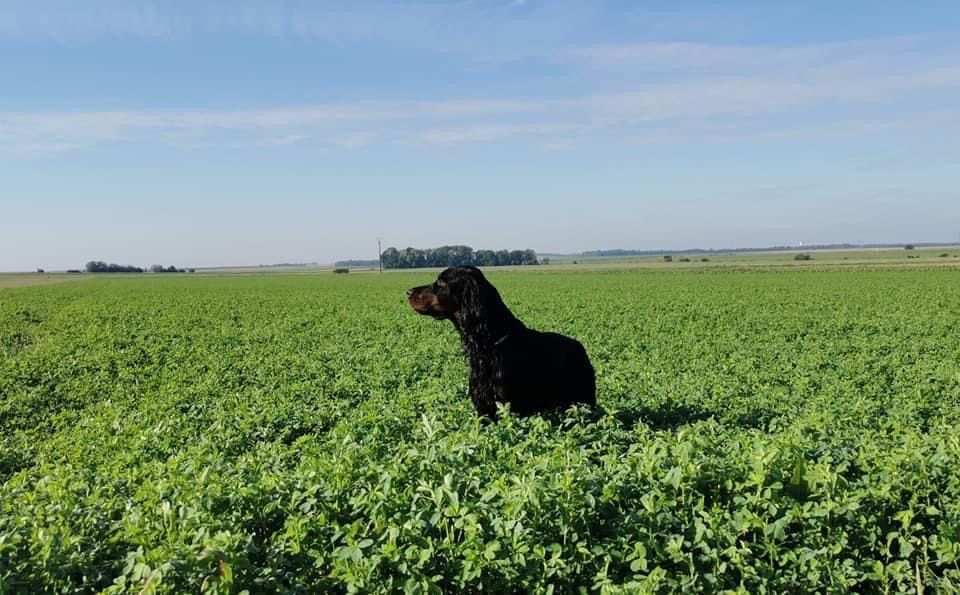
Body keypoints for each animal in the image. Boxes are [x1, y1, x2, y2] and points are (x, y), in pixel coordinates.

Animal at [404, 266, 592, 420]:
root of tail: (580, 347)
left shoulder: (509, 405)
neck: (489, 344)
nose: (408, 291)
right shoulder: (483, 406)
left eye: (441, 282)